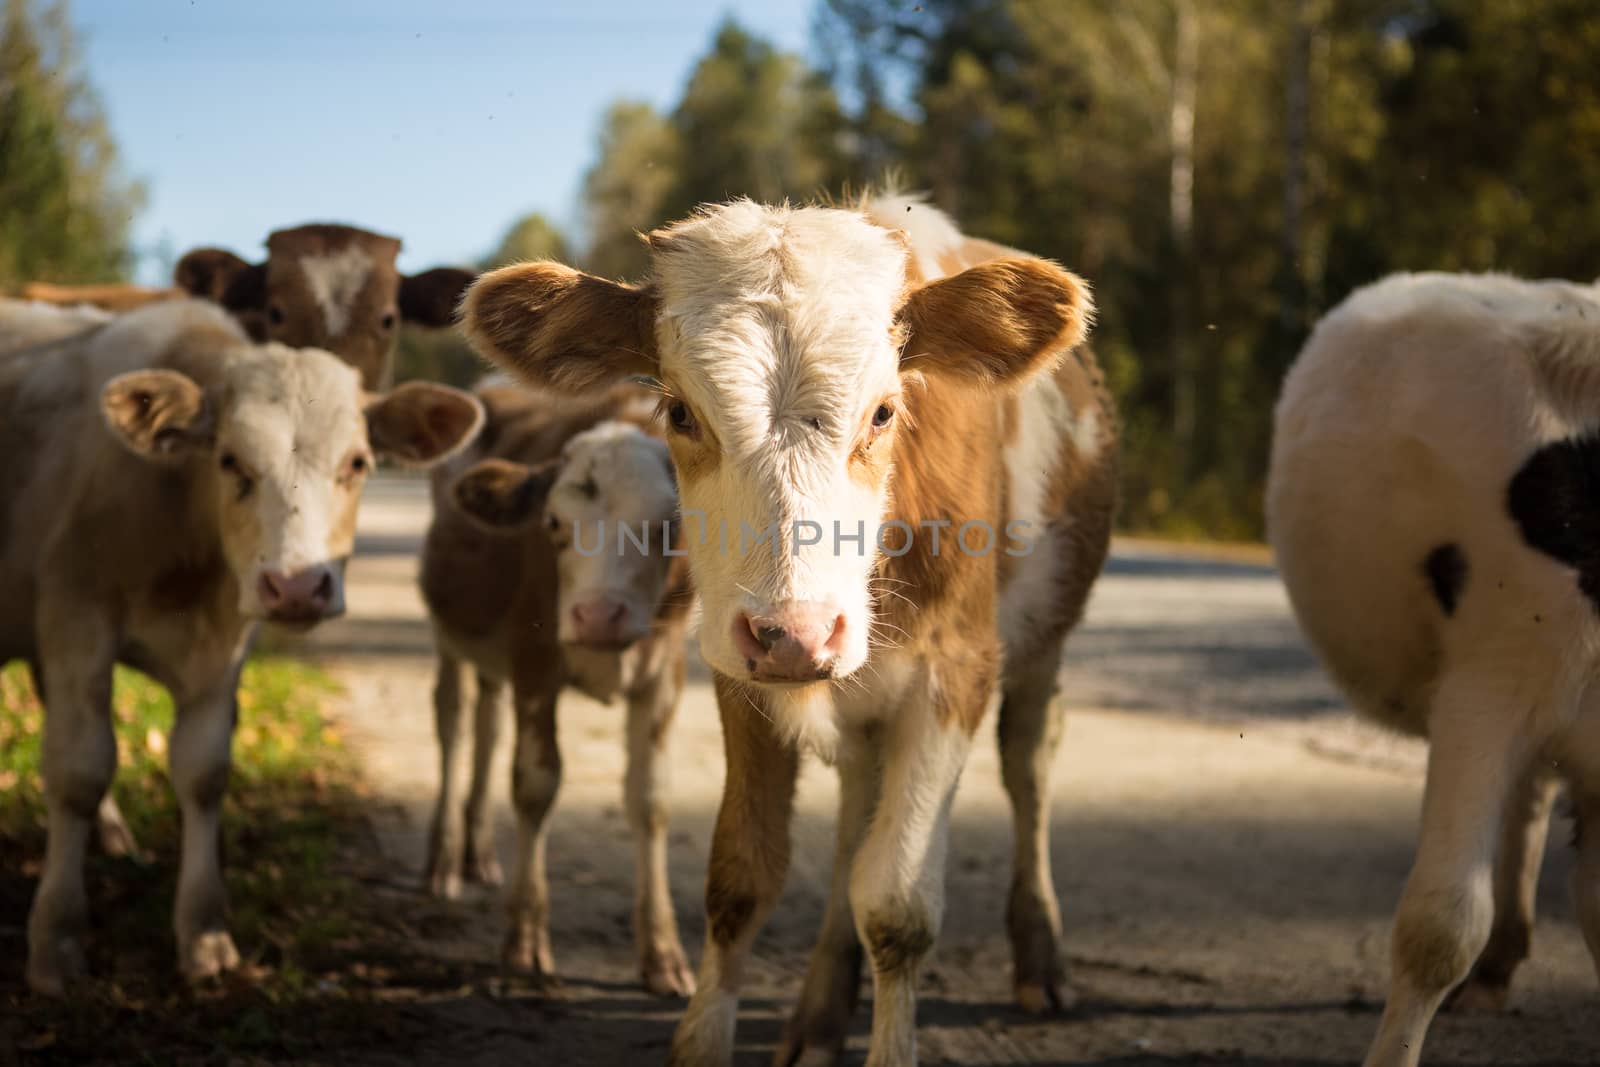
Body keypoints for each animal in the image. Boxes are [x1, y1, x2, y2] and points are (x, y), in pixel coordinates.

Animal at [416, 388, 697, 998]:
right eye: (552, 523)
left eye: (668, 526)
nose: (597, 616)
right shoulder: (534, 662)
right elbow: (535, 784)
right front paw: (523, 941)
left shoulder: (664, 674)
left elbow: (651, 799)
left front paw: (662, 952)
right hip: (449, 635)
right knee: (452, 725)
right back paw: (443, 861)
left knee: (488, 724)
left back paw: (478, 855)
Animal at [460, 194, 1113, 1067]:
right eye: (679, 410)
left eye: (884, 410)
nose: (798, 632)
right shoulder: (740, 667)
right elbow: (742, 877)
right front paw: (707, 1037)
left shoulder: (955, 671)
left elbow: (899, 904)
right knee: (853, 819)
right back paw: (817, 1015)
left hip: (1041, 643)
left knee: (1028, 767)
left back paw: (1039, 956)